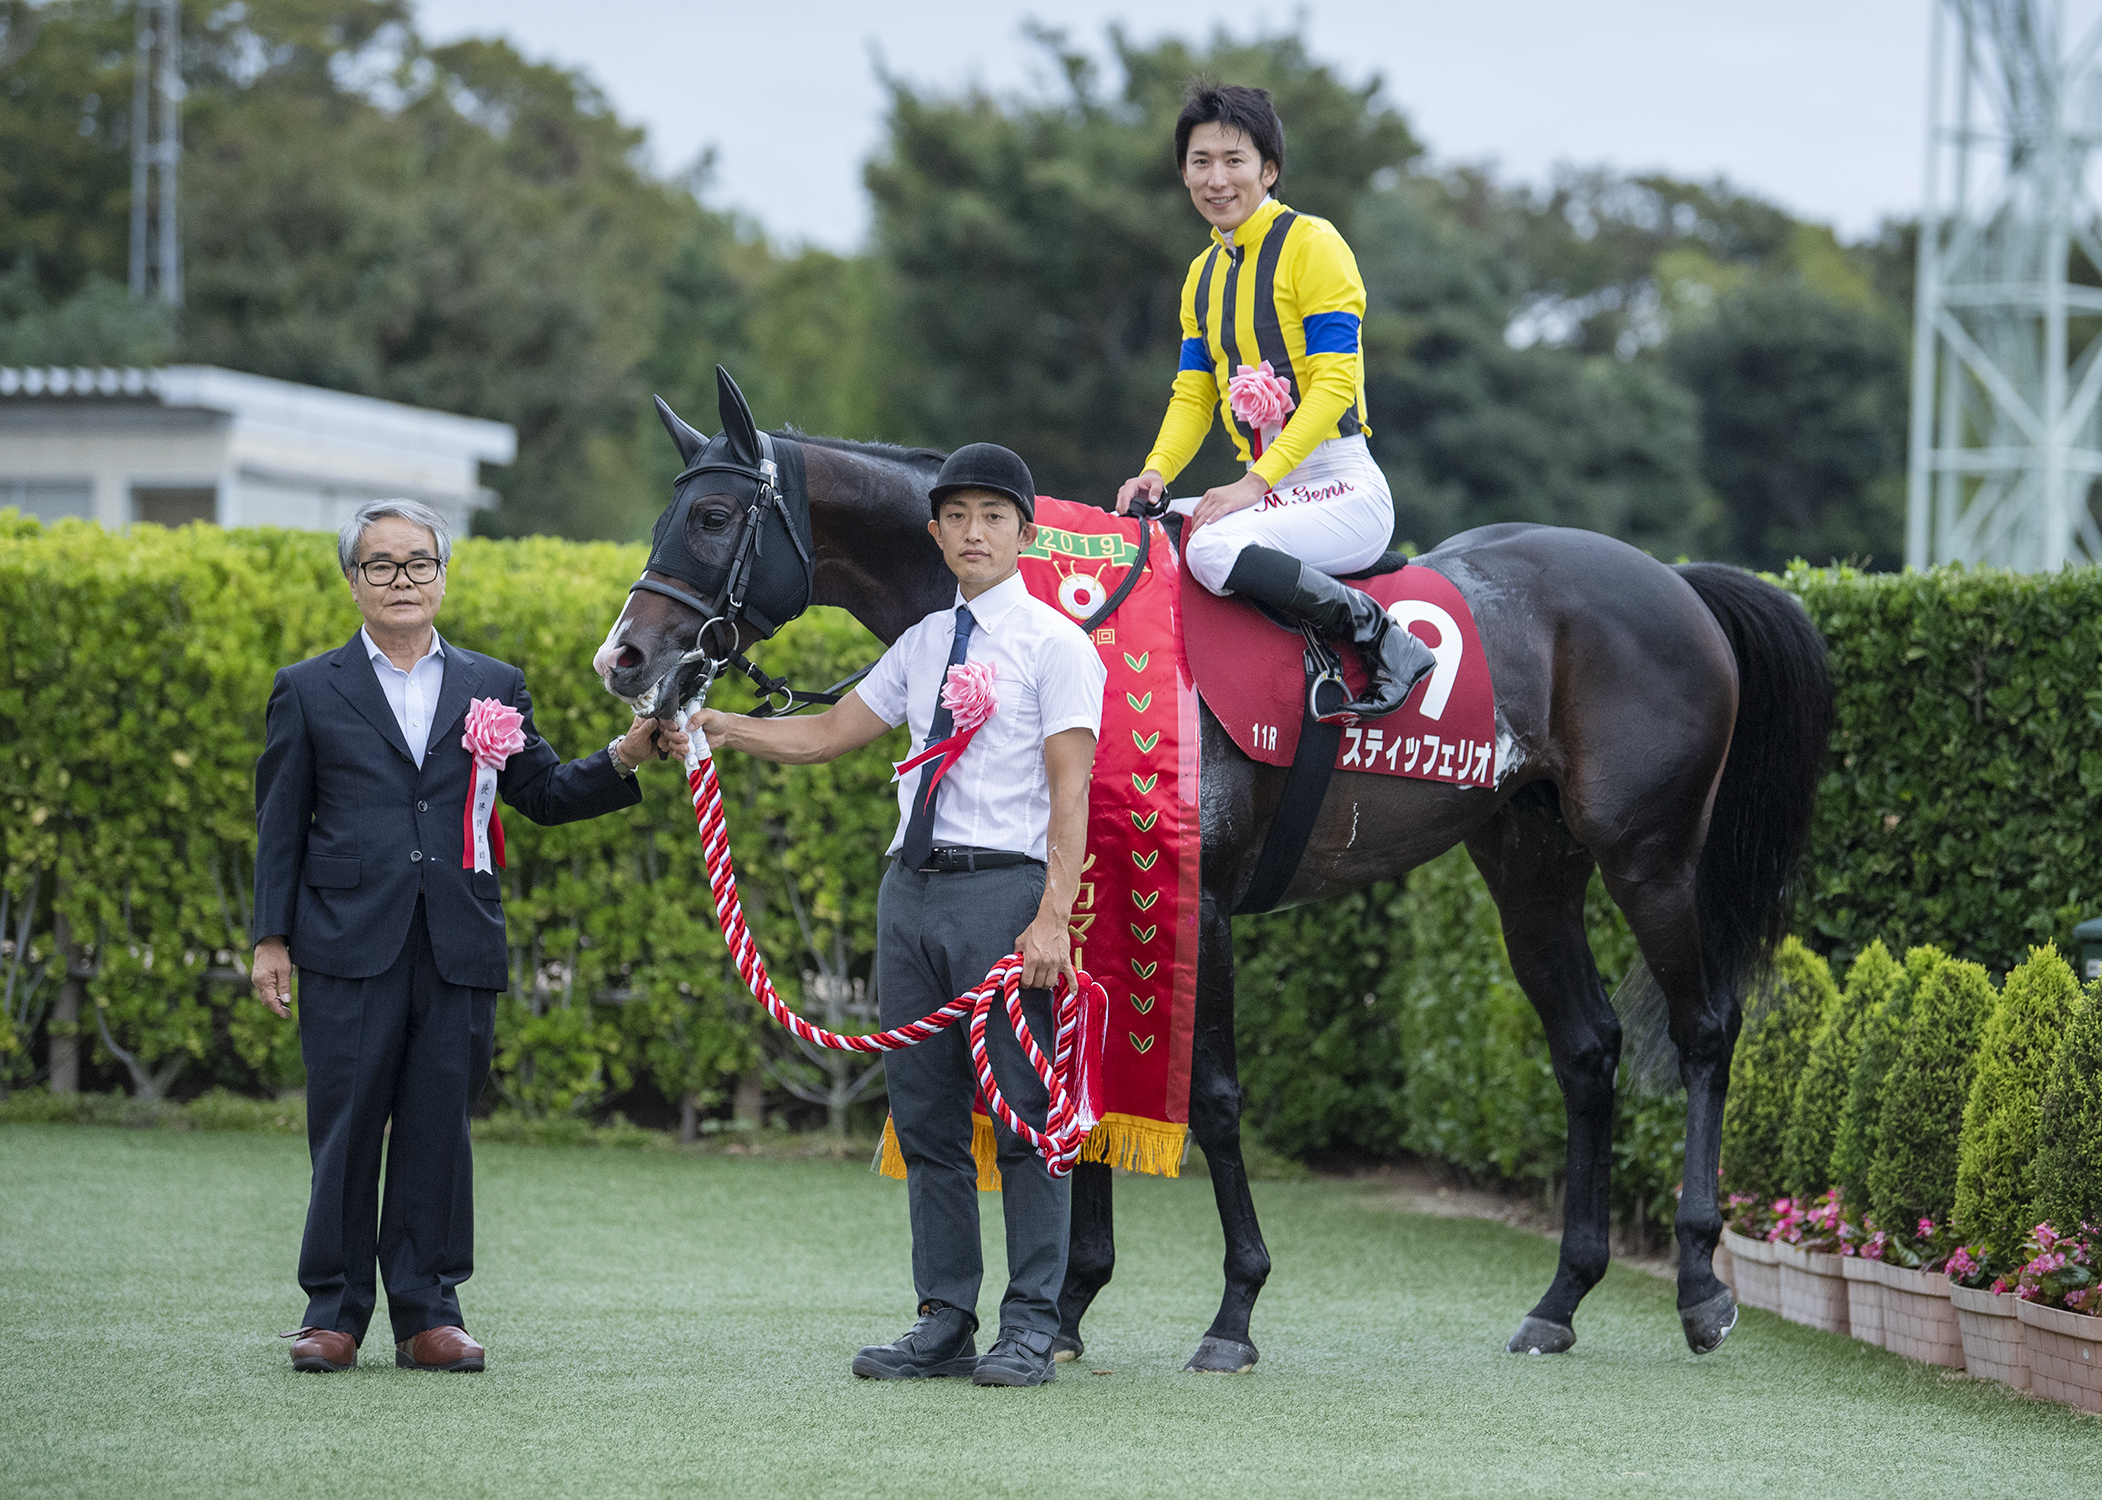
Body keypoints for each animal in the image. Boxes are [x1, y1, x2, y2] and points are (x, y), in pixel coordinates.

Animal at [592, 365, 1824, 1369]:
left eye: (712, 514)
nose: (627, 658)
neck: (1072, 615)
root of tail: (1674, 582)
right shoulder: (1079, 903)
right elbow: (1078, 1089)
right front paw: (1069, 1308)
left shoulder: (1205, 904)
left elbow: (1216, 1100)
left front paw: (1232, 1312)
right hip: (1528, 864)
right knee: (1587, 1051)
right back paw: (1560, 1298)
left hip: (1647, 857)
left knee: (1705, 1029)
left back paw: (1700, 1287)